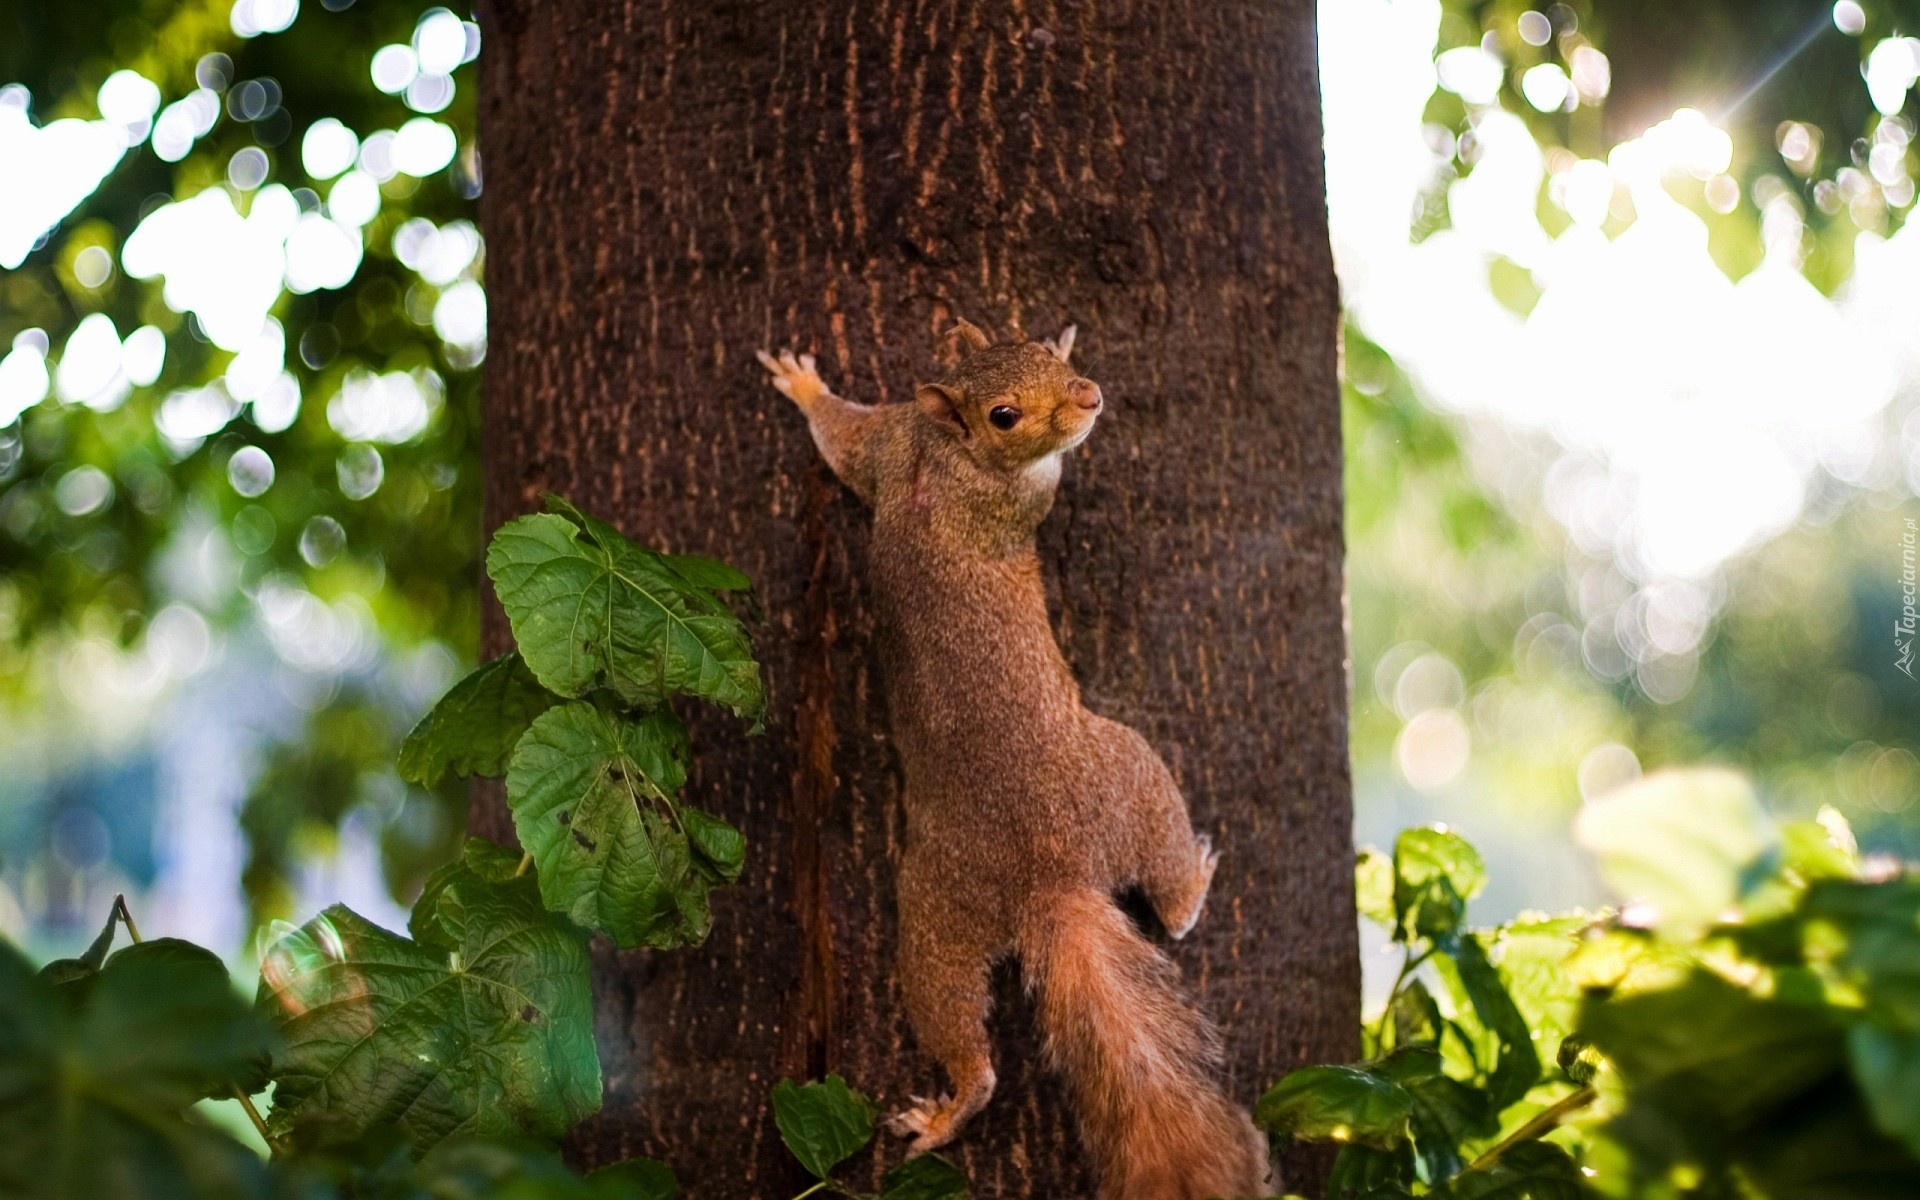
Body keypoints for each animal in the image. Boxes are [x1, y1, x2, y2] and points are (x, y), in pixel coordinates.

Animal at [752, 320, 1274, 1198]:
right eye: (1005, 415)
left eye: (1042, 353)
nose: (1089, 395)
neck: (946, 456)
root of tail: (1048, 878)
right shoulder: (1018, 491)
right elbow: (1051, 479)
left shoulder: (887, 443)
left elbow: (842, 438)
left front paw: (802, 387)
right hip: (1126, 775)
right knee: (1161, 910)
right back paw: (1192, 879)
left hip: (932, 928)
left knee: (955, 1021)